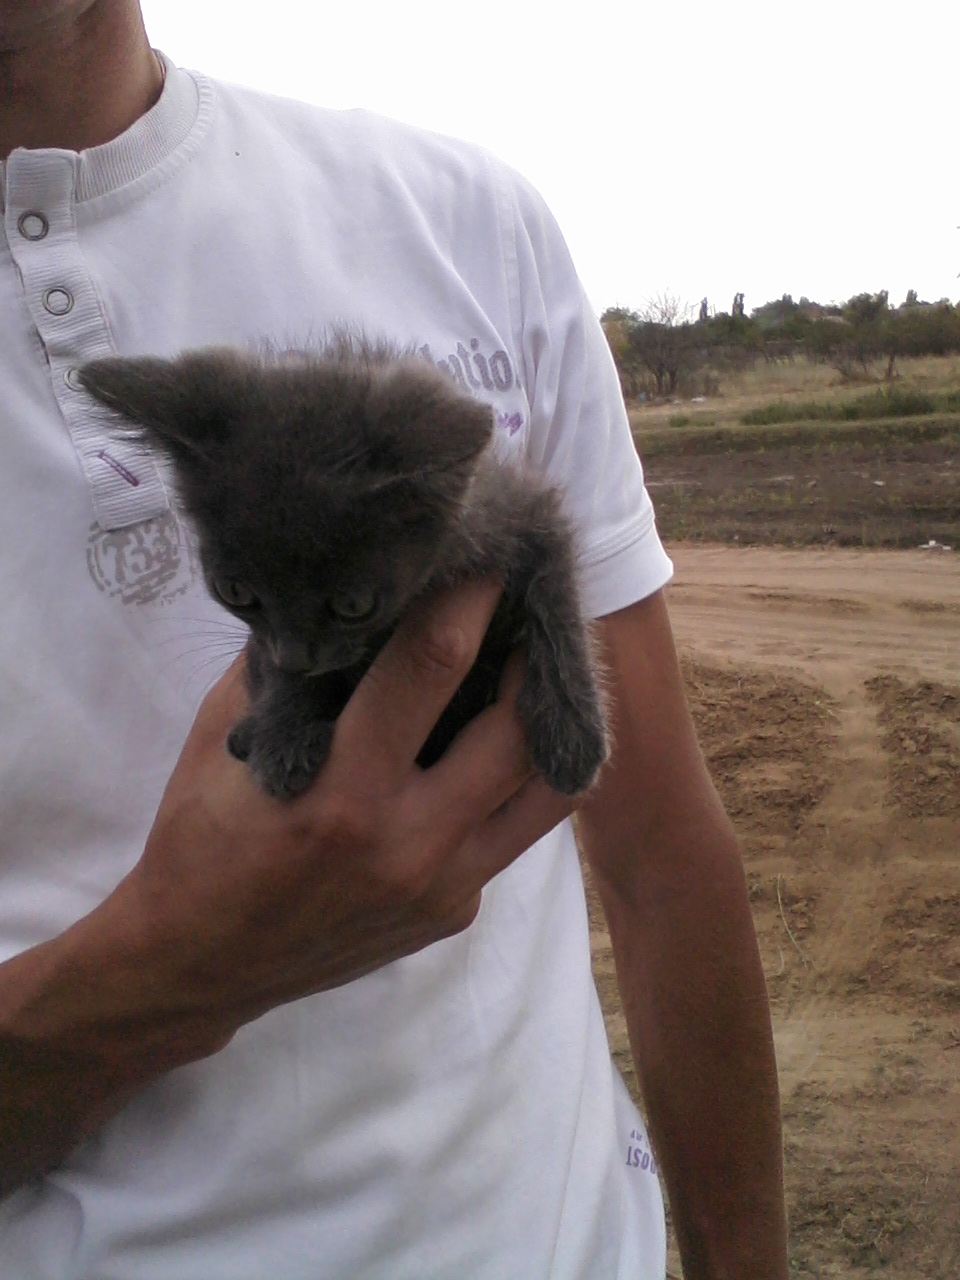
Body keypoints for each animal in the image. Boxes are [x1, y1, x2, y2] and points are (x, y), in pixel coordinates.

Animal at [78, 338, 609, 799]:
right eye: (235, 592)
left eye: (353, 605)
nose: (294, 658)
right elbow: (272, 667)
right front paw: (284, 731)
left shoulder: (522, 508)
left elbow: (556, 599)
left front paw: (573, 731)